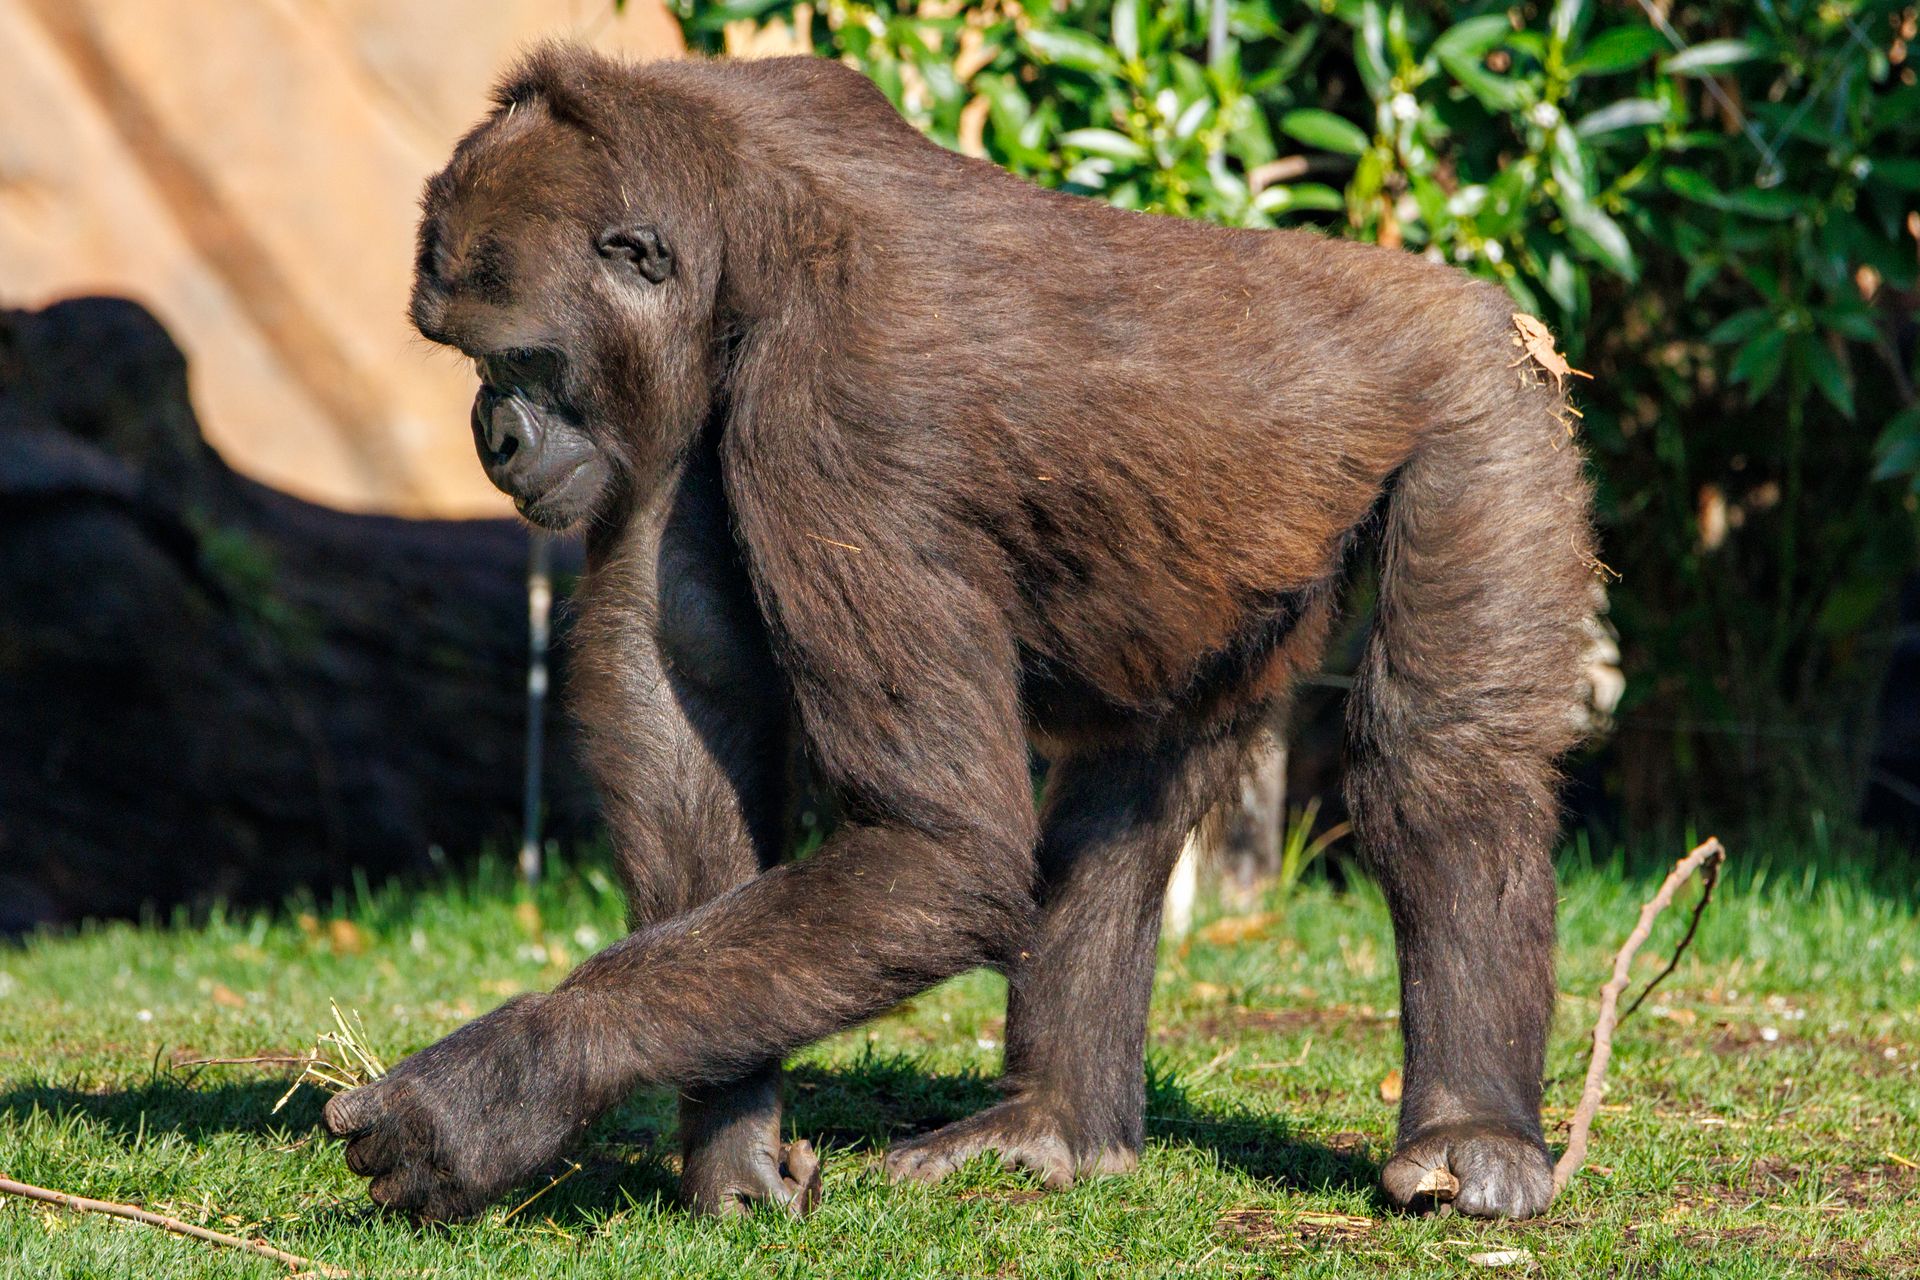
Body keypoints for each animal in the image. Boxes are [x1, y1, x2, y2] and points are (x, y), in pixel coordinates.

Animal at [321, 43, 1596, 1224]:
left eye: (518, 355)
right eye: (467, 356)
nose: (493, 435)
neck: (743, 226)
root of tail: (1464, 290)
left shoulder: (839, 414)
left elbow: (939, 847)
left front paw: (499, 1086)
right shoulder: (676, 397)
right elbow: (676, 676)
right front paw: (732, 1146)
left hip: (1487, 396)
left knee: (1442, 764)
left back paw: (1472, 1127)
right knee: (1125, 796)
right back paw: (1055, 1124)